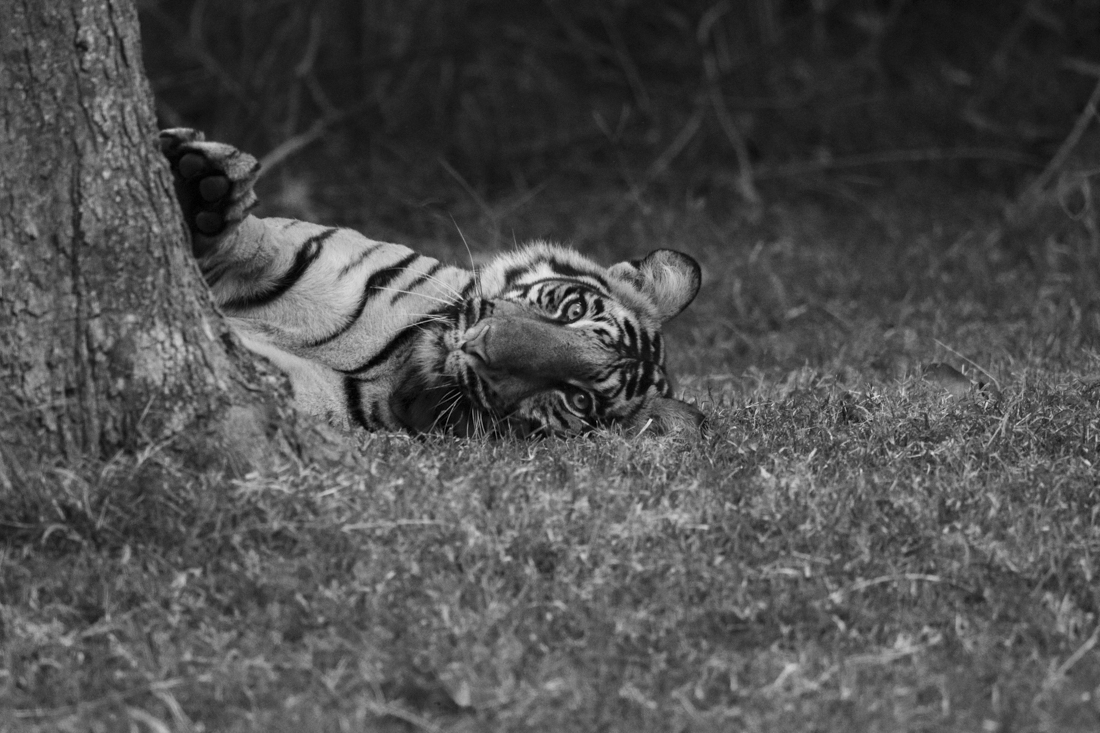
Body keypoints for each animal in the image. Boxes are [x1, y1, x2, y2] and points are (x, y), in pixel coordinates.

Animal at [158, 128, 704, 437]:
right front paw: (203, 184)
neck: (402, 359)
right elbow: (256, 244)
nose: (481, 345)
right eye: (572, 311)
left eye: (578, 399)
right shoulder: (296, 252)